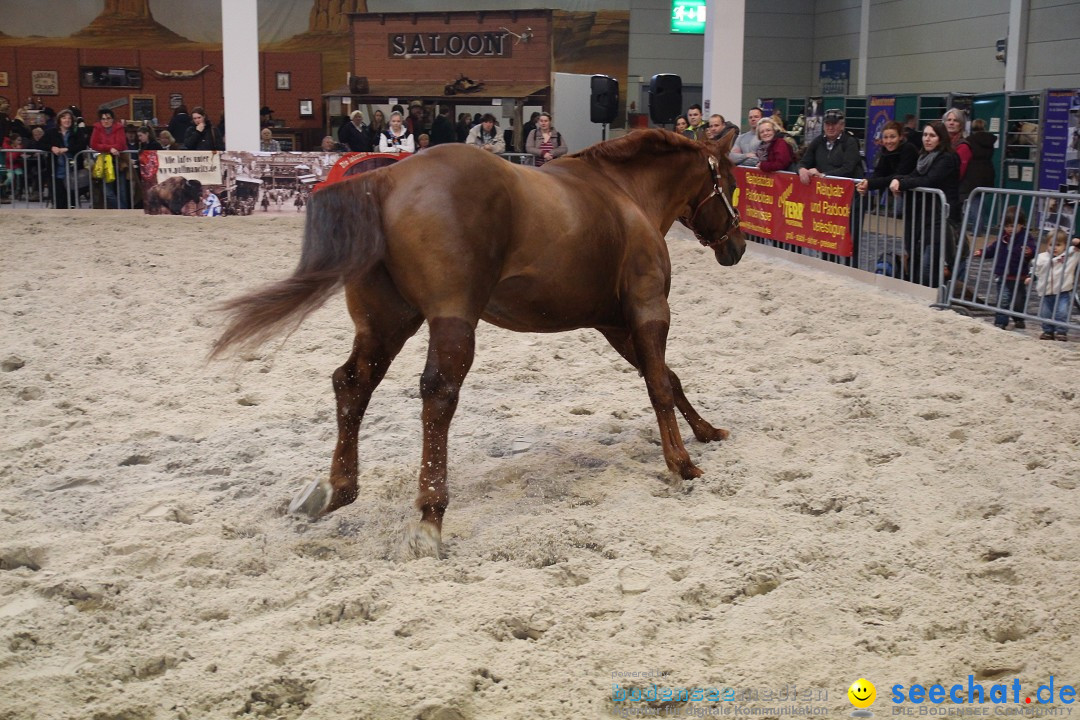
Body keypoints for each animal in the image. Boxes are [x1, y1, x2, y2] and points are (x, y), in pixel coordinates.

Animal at [214, 129, 747, 557]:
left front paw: (705, 431)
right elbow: (659, 384)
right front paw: (682, 463)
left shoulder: (615, 325)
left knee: (352, 384)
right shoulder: (648, 310)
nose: (738, 246)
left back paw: (337, 488)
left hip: (386, 323)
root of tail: (385, 181)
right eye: (731, 182)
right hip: (452, 321)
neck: (623, 194)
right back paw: (430, 515)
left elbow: (669, 379)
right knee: (438, 396)